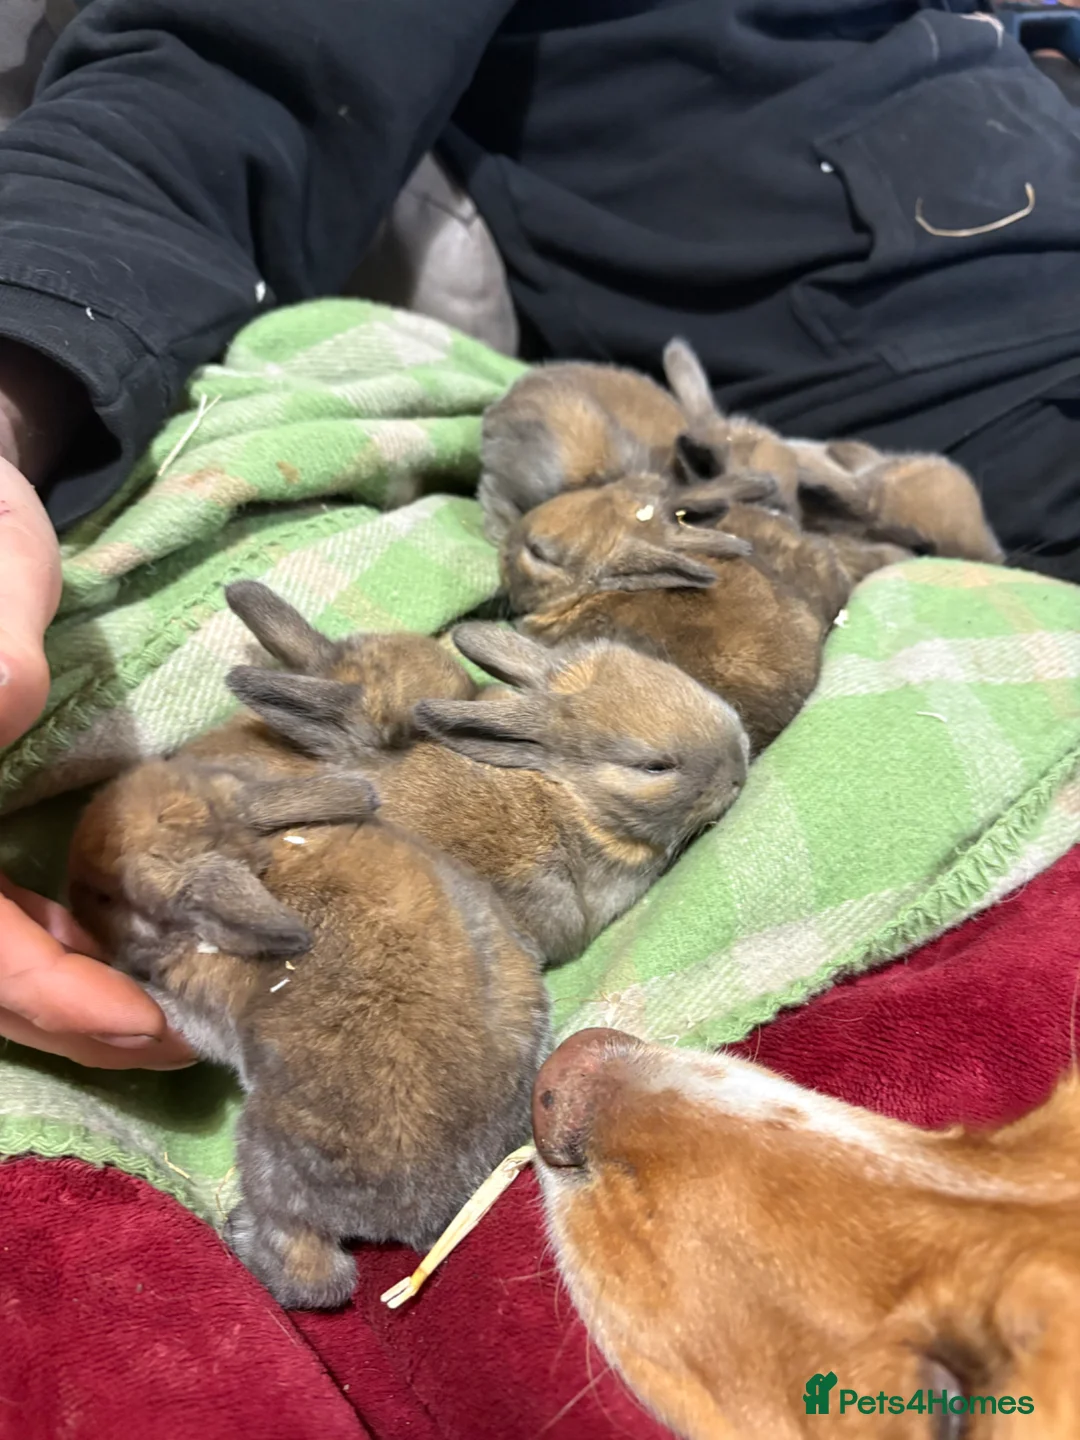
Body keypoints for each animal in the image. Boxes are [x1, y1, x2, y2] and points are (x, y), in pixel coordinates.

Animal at [67, 758, 550, 1310]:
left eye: (107, 894)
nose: (67, 885)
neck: (260, 865)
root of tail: (424, 1216)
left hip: (266, 1165)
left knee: (319, 1277)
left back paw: (239, 1234)